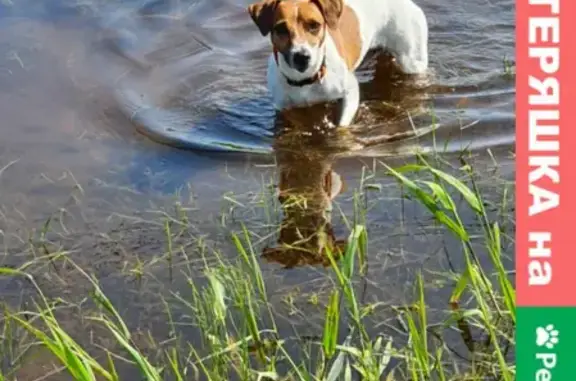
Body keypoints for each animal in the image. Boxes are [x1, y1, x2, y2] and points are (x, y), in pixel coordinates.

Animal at [245, 0, 430, 126]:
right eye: (281, 29)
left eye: (314, 25)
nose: (302, 56)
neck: (307, 79)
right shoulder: (284, 109)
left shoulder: (350, 92)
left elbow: (342, 125)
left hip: (412, 61)